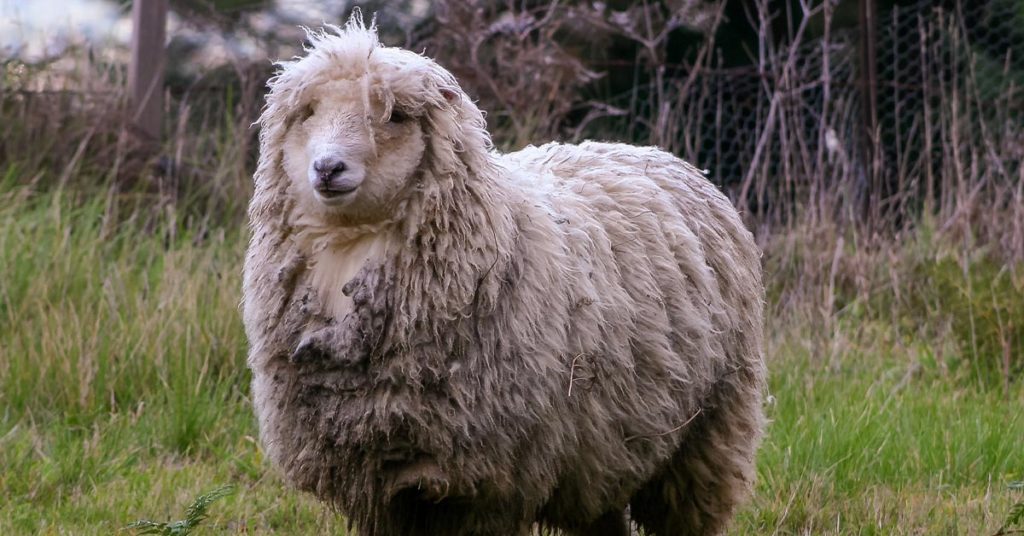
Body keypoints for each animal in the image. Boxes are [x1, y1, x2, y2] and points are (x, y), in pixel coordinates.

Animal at [242, 14, 766, 536]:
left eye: (395, 116)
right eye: (309, 112)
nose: (327, 168)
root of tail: (657, 153)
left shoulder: (488, 482)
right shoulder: (381, 483)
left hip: (707, 433)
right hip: (605, 447)